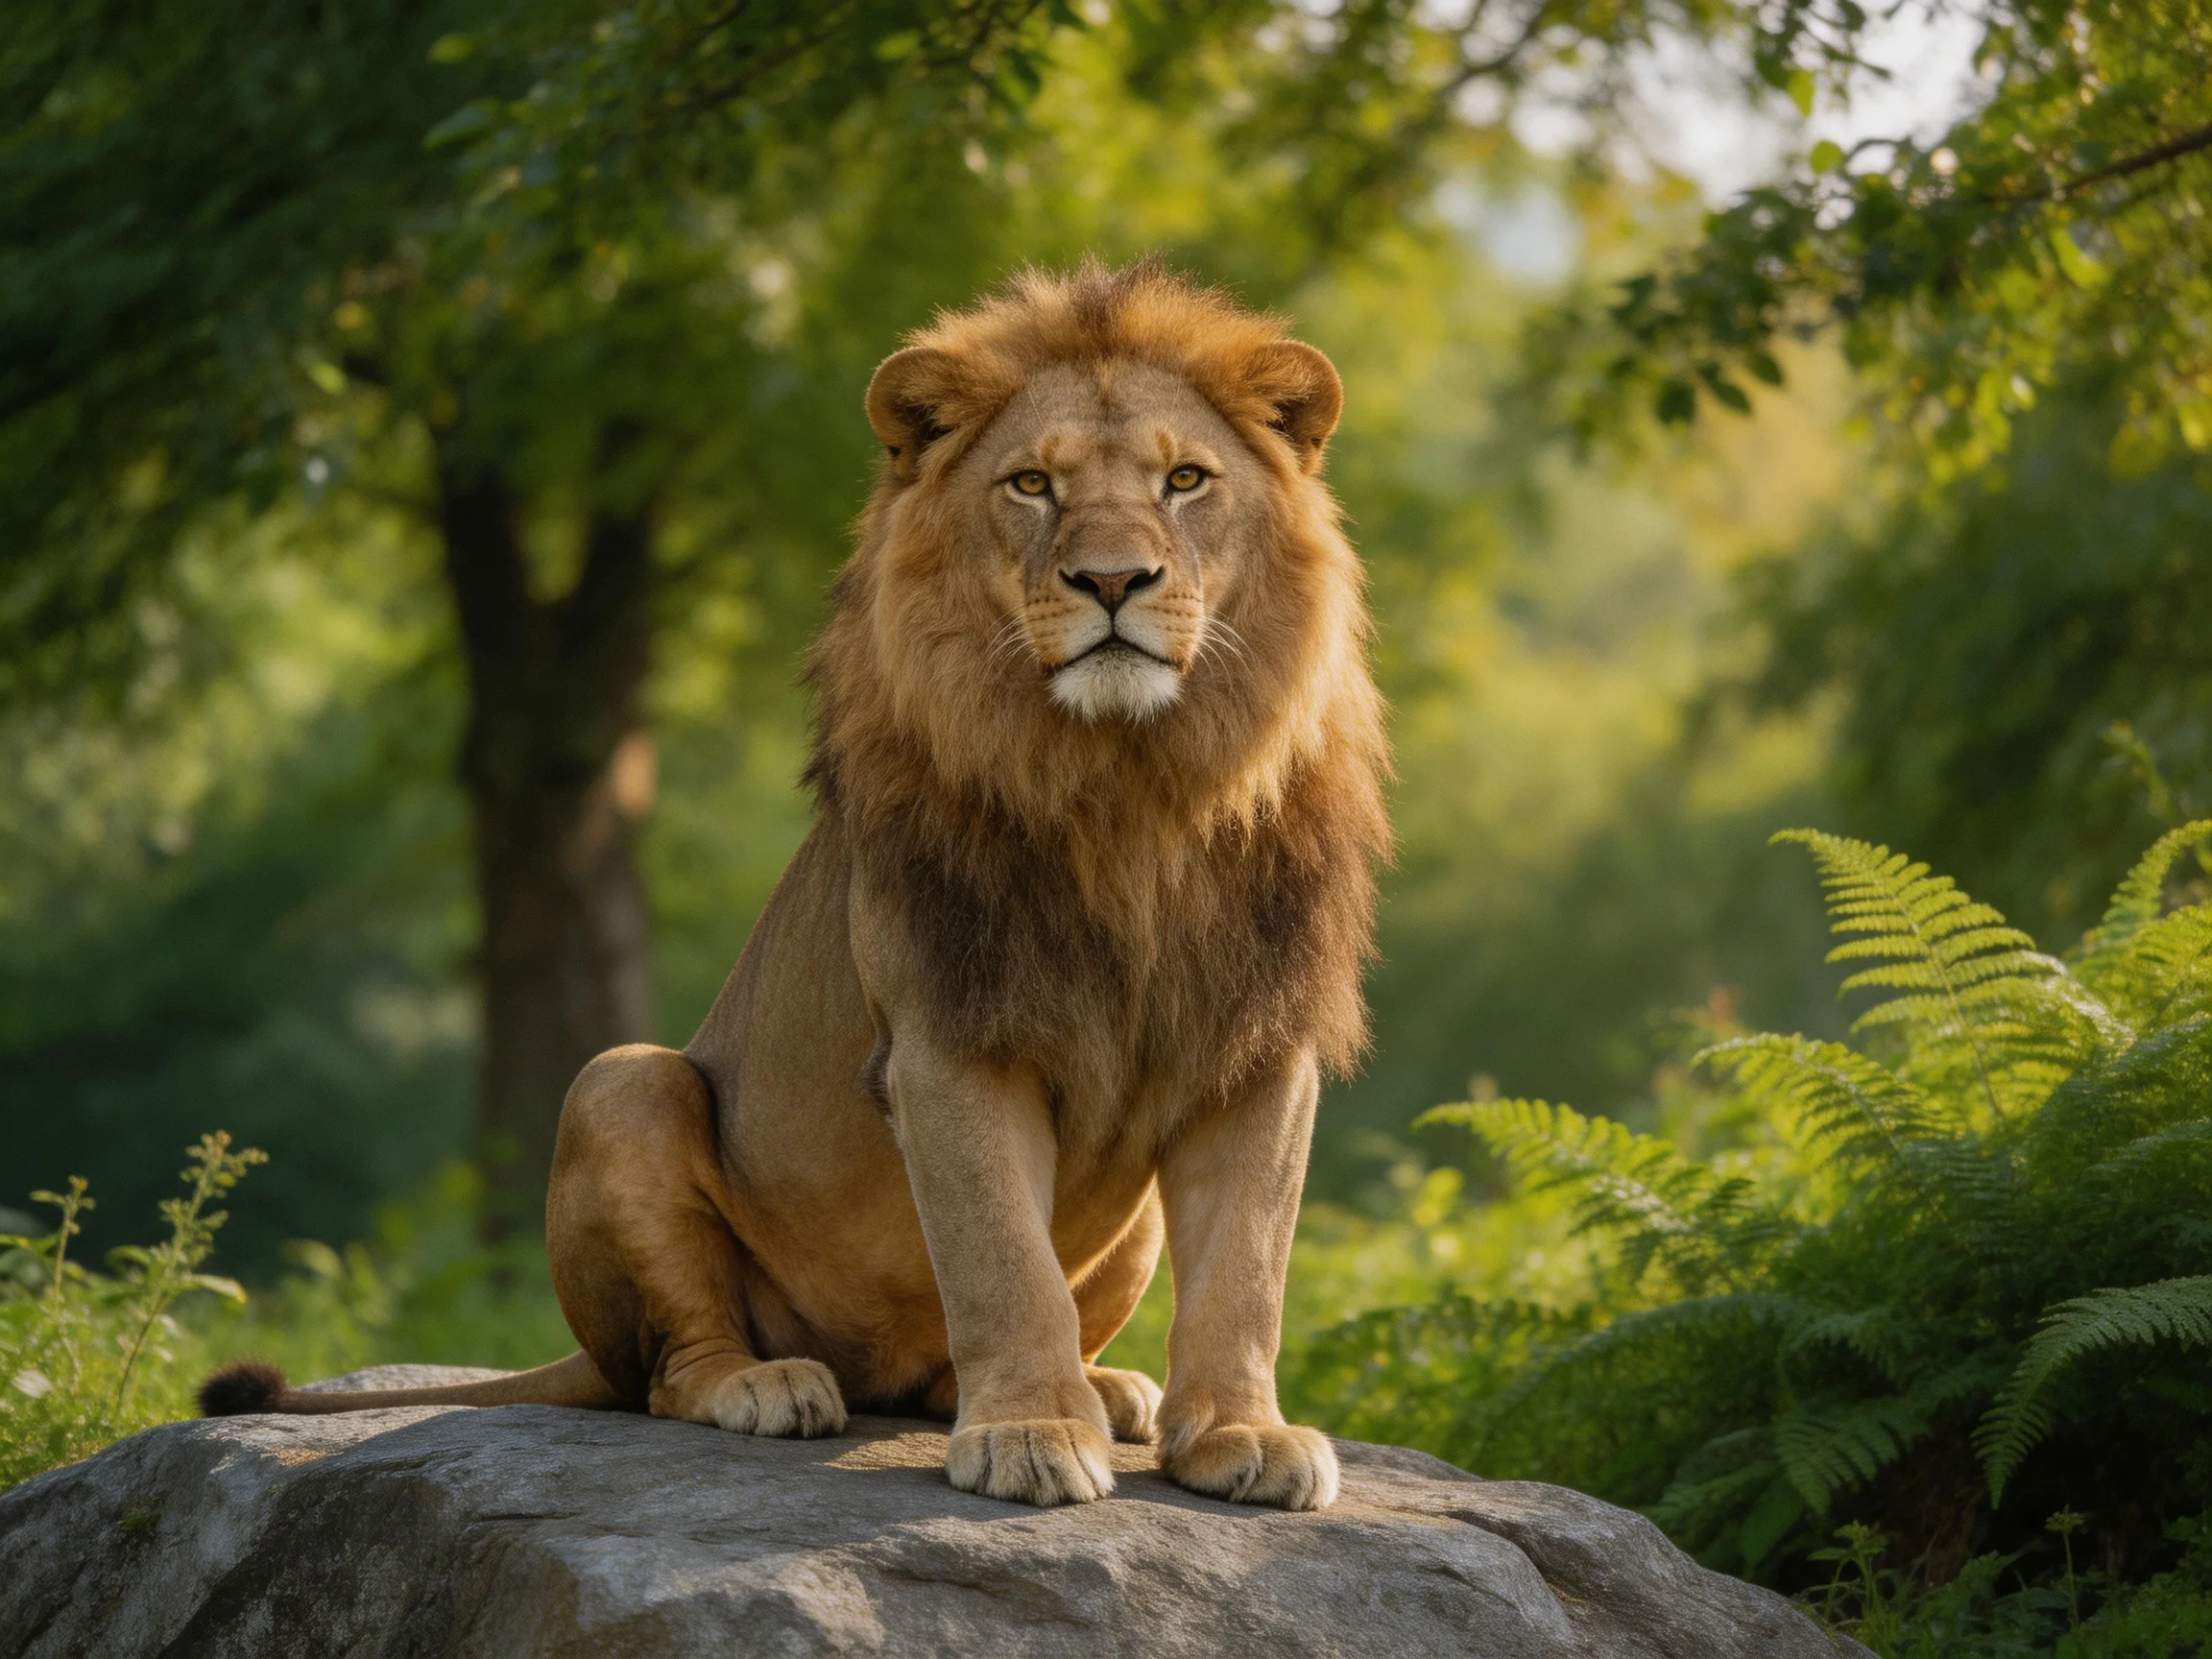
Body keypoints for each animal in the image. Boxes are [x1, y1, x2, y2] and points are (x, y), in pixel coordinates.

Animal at [200, 259, 1391, 1511]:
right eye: (1031, 485)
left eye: (1185, 480)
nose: (1112, 579)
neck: (1134, 788)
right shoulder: (947, 1040)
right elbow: (1001, 1261)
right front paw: (1028, 1430)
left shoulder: (1259, 1044)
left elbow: (1247, 1270)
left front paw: (1240, 1432)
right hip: (621, 1086)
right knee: (667, 1370)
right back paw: (771, 1384)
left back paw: (1105, 1391)